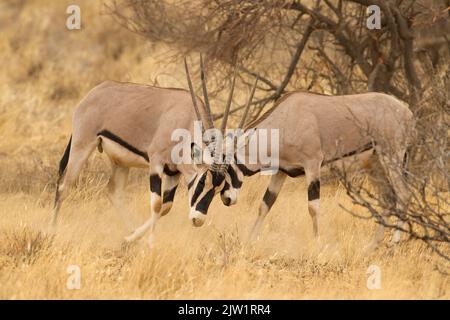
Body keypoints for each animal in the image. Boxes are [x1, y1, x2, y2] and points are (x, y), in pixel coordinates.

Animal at [51, 56, 253, 244]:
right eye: (203, 181)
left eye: (219, 188)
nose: (198, 220)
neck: (185, 122)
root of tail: (93, 93)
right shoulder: (156, 163)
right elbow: (156, 205)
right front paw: (150, 244)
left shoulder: (173, 173)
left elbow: (166, 207)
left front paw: (132, 239)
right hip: (82, 146)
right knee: (63, 186)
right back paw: (51, 231)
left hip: (120, 162)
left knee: (114, 193)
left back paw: (130, 233)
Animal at [186, 89, 414, 250]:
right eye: (201, 180)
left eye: (217, 180)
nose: (227, 199)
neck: (286, 119)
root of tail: (406, 111)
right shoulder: (281, 170)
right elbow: (265, 204)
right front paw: (249, 243)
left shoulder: (312, 165)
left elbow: (313, 208)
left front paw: (317, 246)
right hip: (374, 165)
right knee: (388, 199)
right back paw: (371, 247)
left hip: (391, 156)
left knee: (403, 194)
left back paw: (394, 245)